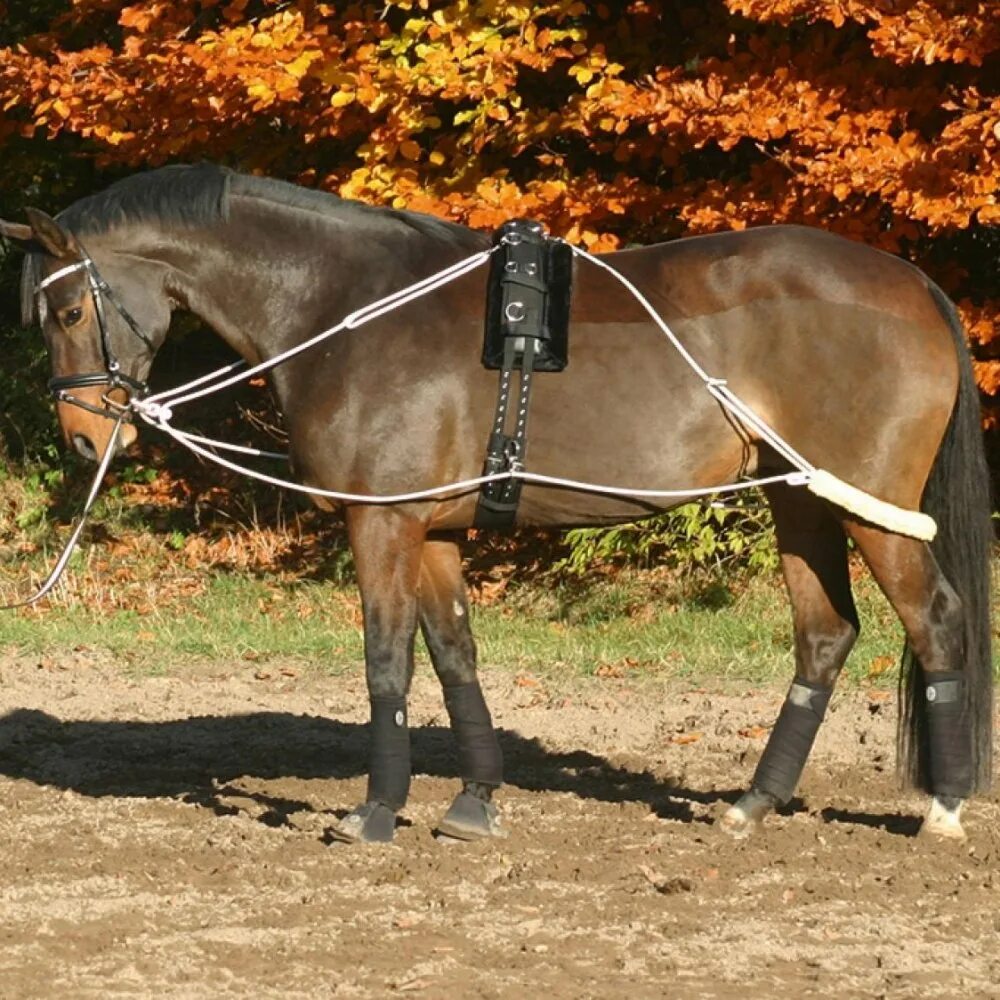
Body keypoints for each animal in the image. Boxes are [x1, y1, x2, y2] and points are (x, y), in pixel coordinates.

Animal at [0, 164, 992, 844]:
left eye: (67, 313)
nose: (85, 439)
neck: (344, 306)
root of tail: (913, 284)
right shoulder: (432, 528)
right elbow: (454, 658)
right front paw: (474, 801)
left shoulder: (382, 520)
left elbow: (387, 662)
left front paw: (377, 811)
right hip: (802, 503)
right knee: (825, 636)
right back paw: (754, 801)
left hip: (870, 508)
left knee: (937, 622)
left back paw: (942, 808)